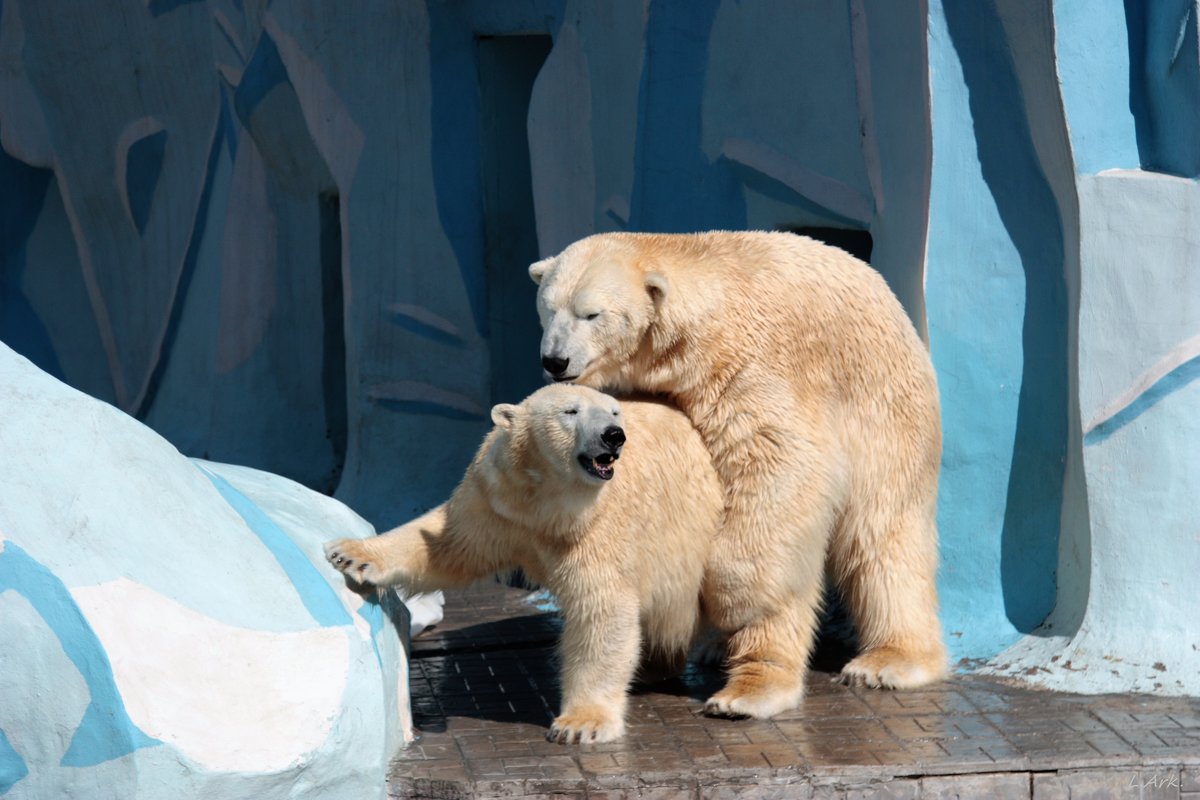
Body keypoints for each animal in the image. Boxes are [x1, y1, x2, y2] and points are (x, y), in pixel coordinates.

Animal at [324, 383, 720, 743]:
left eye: (614, 411)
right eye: (570, 411)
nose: (613, 435)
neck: (547, 502)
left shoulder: (597, 526)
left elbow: (601, 609)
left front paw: (580, 724)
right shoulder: (498, 502)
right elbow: (447, 544)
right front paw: (350, 553)